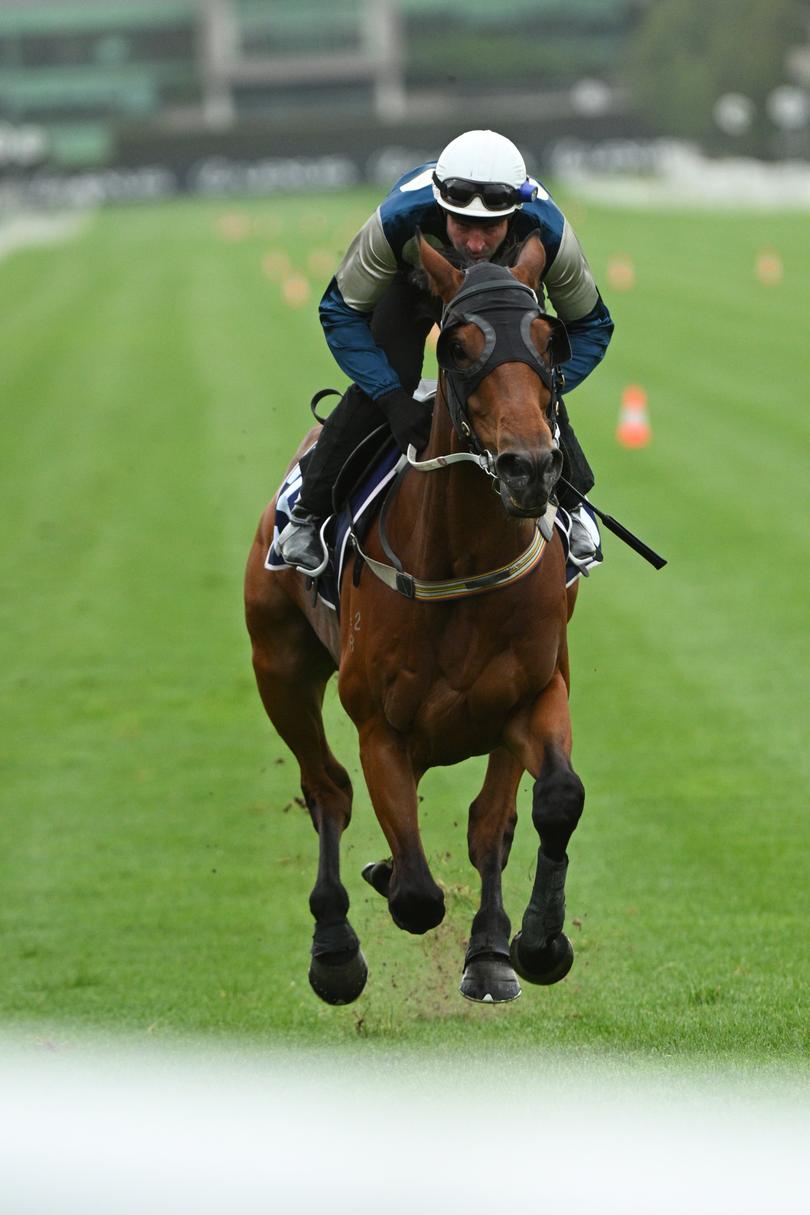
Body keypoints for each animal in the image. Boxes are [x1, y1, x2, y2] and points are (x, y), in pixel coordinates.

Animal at [244, 234, 585, 1006]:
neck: (461, 563)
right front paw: (382, 887)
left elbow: (547, 803)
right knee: (327, 790)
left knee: (488, 823)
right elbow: (417, 896)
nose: (530, 467)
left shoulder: (535, 692)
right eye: (456, 346)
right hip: (279, 667)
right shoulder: (381, 727)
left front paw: (531, 944)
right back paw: (335, 948)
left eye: (549, 338)